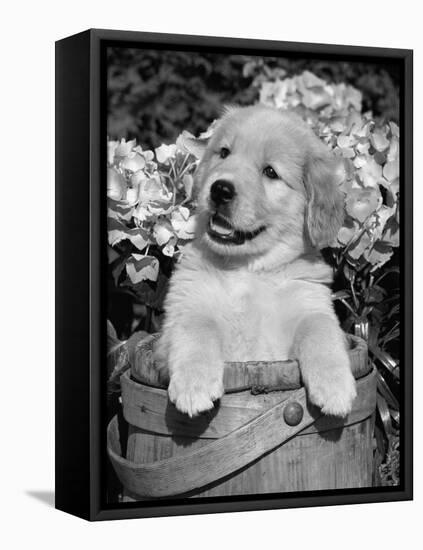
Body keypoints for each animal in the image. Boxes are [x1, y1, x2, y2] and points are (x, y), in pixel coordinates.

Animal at [157, 104, 356, 418]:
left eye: (270, 172)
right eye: (224, 152)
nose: (220, 190)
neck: (247, 269)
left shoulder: (310, 303)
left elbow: (320, 329)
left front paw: (335, 387)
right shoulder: (182, 311)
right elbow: (196, 327)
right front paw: (193, 385)